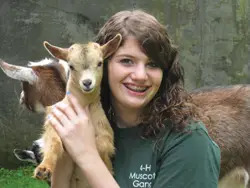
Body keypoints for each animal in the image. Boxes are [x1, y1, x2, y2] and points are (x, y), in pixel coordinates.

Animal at [34, 33, 121, 187]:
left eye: (100, 63)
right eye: (71, 66)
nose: (87, 83)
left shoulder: (106, 133)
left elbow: (100, 146)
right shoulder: (52, 122)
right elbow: (54, 142)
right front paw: (43, 170)